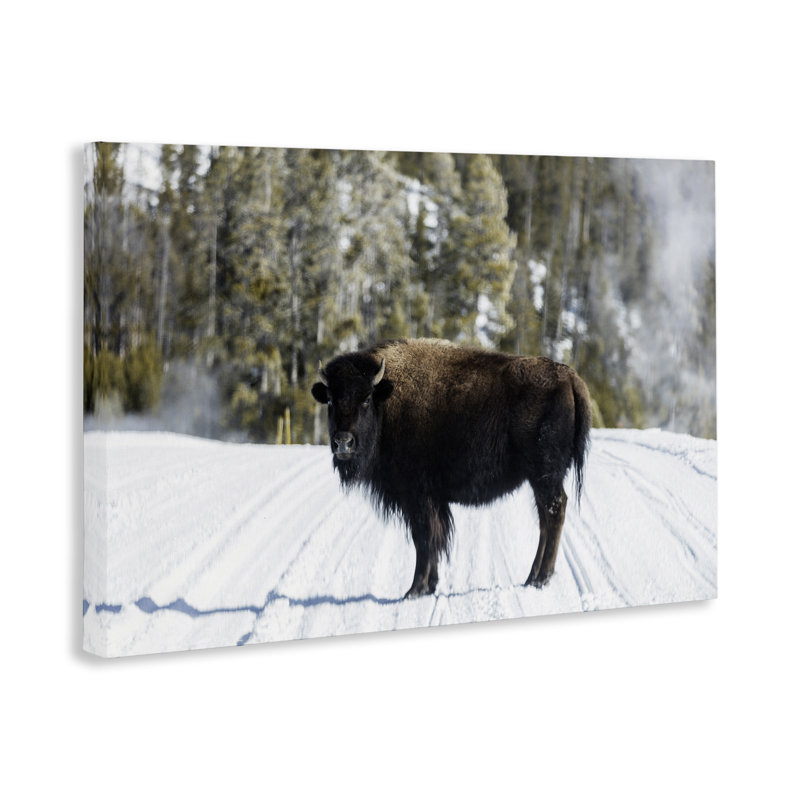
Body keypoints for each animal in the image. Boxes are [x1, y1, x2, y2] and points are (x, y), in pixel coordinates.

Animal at [311, 337, 591, 598]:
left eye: (366, 398)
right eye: (331, 401)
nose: (343, 442)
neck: (386, 401)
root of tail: (569, 377)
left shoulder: (417, 497)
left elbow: (424, 540)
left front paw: (414, 590)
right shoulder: (432, 501)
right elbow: (433, 540)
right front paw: (430, 586)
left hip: (545, 475)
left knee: (554, 512)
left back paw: (541, 578)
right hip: (539, 479)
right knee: (545, 518)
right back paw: (531, 577)